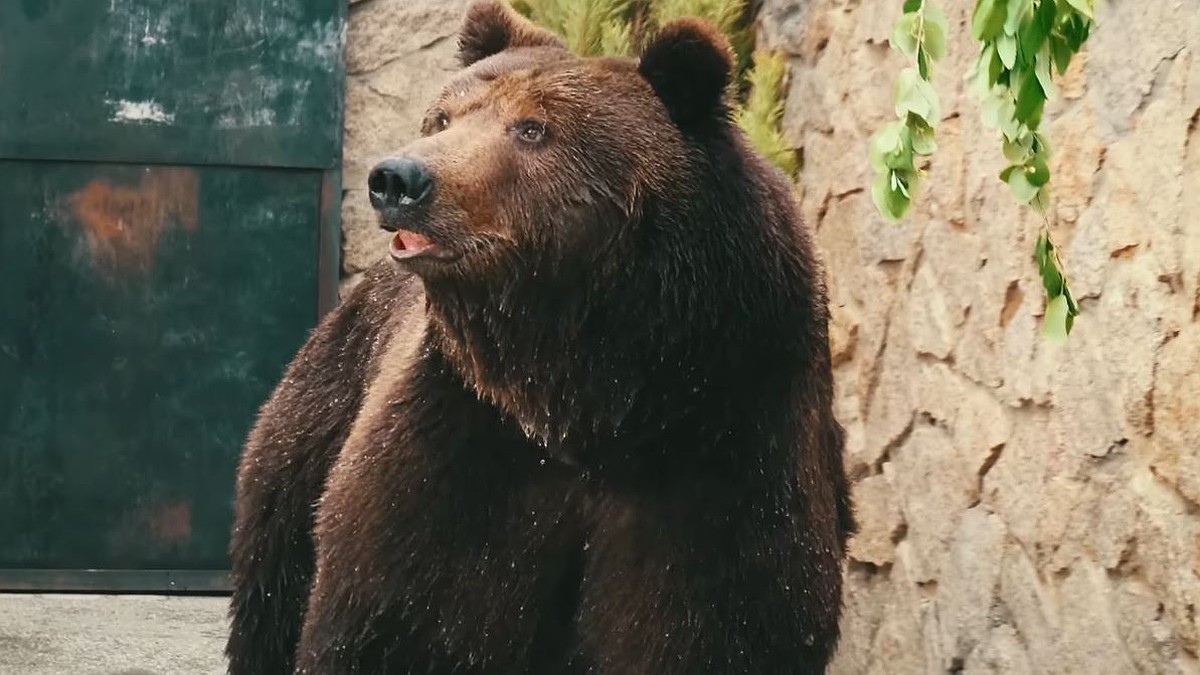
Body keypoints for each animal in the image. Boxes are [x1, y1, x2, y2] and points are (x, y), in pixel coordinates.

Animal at [225, 2, 854, 667]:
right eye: (443, 115)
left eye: (532, 128)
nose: (397, 177)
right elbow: (398, 613)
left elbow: (709, 624)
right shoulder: (463, 437)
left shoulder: (731, 440)